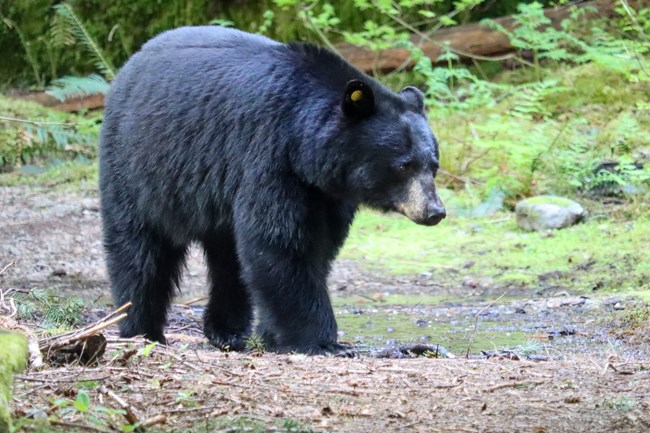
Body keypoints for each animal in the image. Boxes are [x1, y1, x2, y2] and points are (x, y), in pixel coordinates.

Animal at [100, 26, 446, 354]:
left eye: (433, 165)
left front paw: (273, 336)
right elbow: (279, 241)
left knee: (228, 259)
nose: (435, 211)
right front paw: (321, 341)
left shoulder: (326, 191)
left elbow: (318, 246)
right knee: (139, 249)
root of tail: (131, 62)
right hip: (137, 165)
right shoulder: (269, 154)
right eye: (404, 165)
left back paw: (227, 331)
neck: (304, 143)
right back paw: (141, 327)